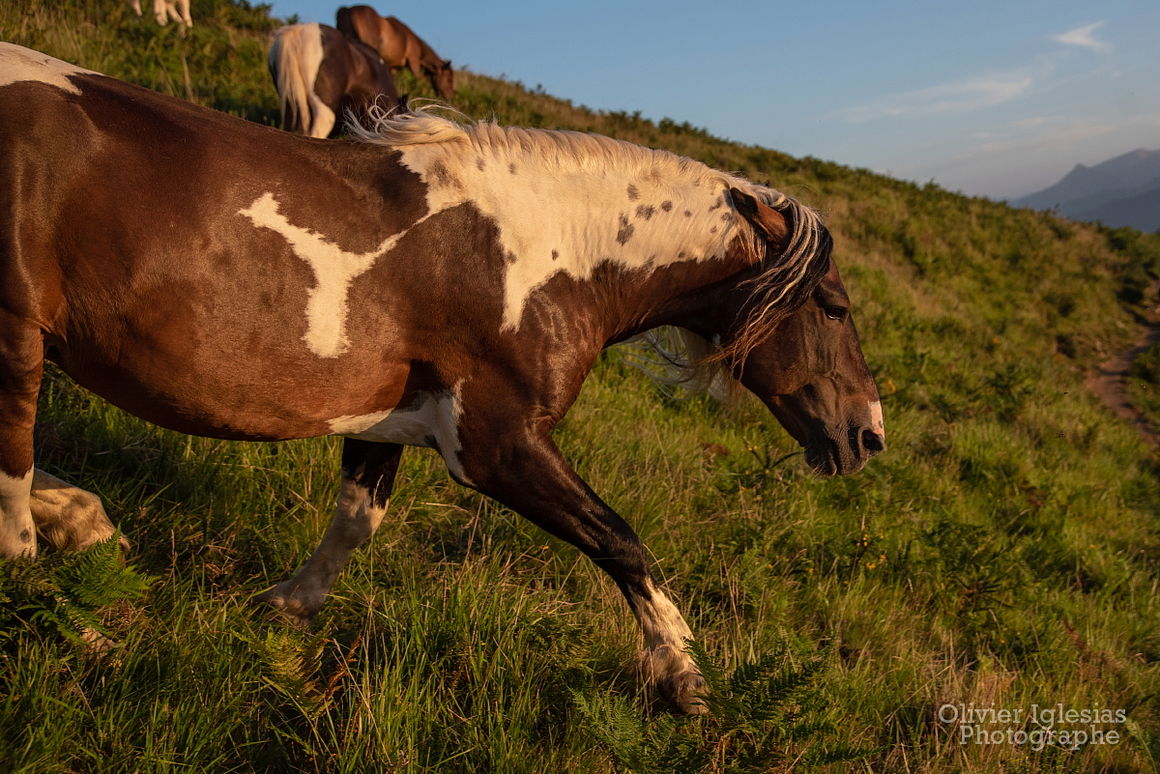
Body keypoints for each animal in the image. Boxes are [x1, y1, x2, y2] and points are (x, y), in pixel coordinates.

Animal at [2, 43, 886, 714]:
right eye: (834, 306)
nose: (867, 435)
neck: (545, 252)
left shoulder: (384, 418)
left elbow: (357, 523)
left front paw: (280, 608)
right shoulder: (496, 445)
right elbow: (621, 540)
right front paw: (683, 677)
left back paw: (87, 526)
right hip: (18, 343)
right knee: (11, 508)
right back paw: (84, 624)